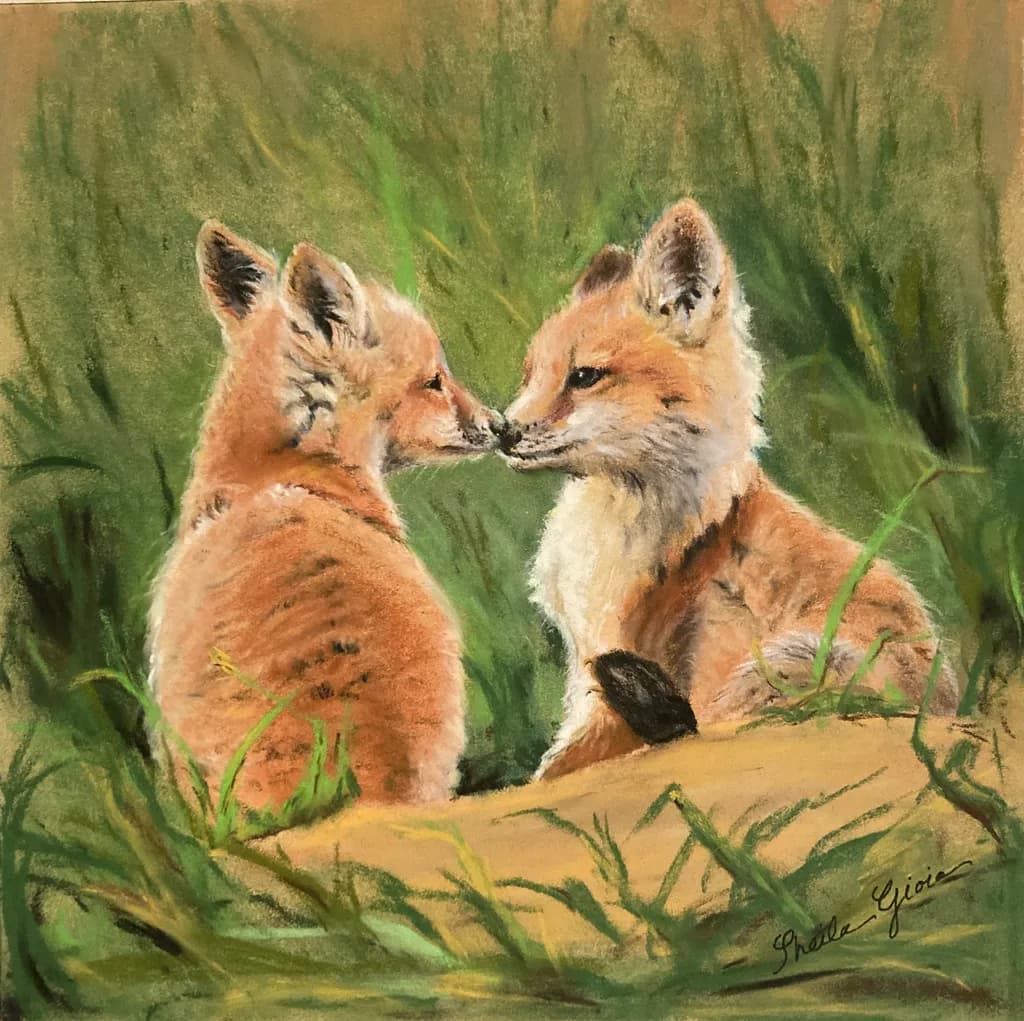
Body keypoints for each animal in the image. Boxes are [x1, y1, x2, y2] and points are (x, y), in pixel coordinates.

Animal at [497, 198, 959, 781]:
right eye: (530, 375)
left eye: (584, 376)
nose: (501, 431)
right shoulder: (586, 672)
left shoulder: (613, 685)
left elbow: (559, 765)